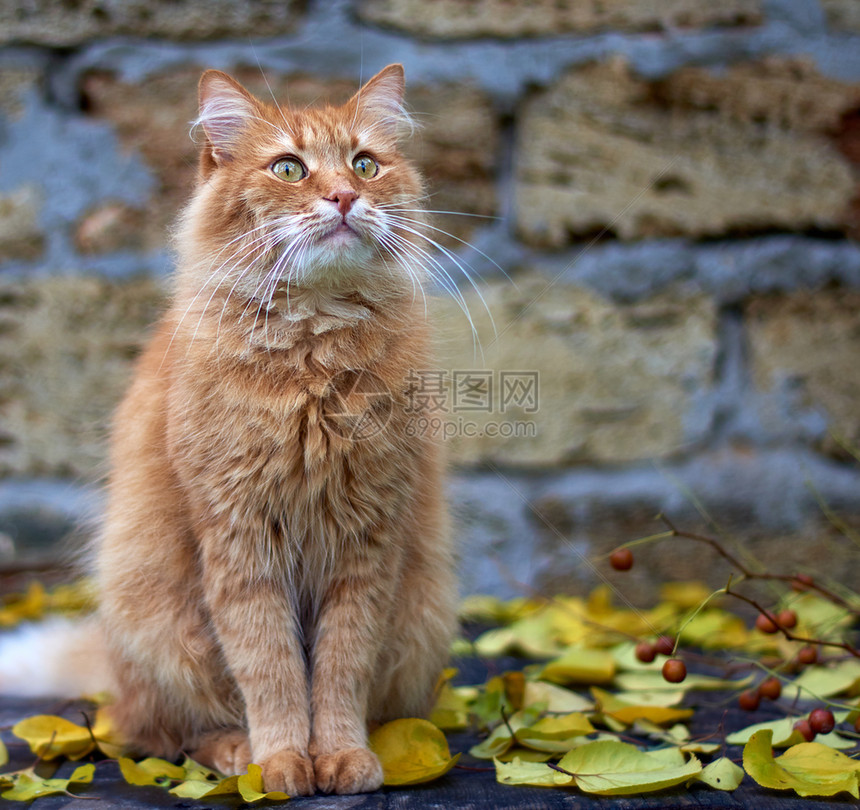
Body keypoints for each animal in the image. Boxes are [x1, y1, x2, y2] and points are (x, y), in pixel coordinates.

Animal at [32, 64, 454, 796]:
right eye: (289, 168)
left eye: (365, 165)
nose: (345, 196)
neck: (314, 353)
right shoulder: (241, 542)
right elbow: (272, 669)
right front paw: (281, 763)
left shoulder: (366, 547)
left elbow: (340, 672)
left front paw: (342, 757)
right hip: (161, 627)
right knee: (165, 733)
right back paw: (235, 753)